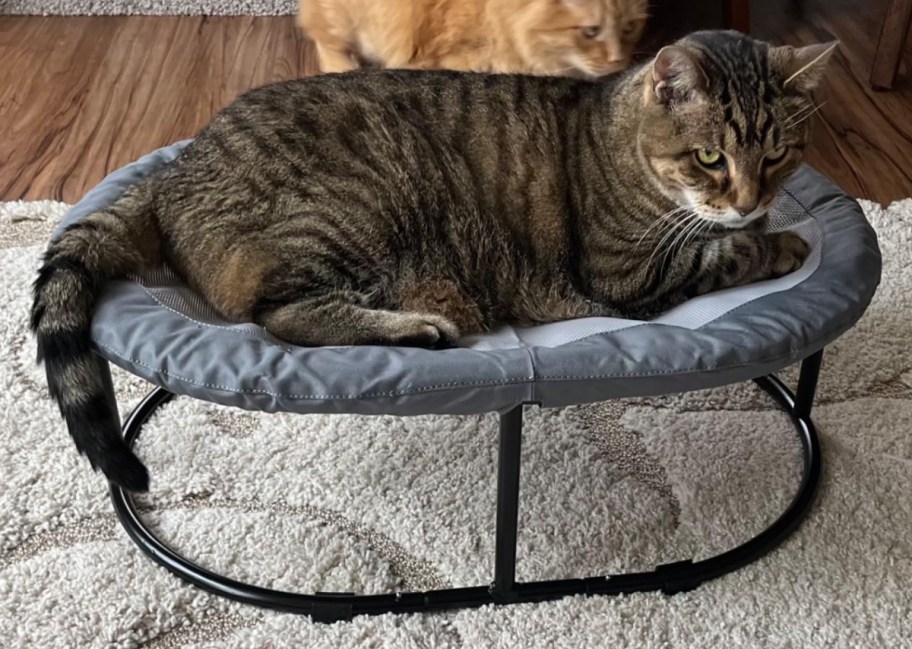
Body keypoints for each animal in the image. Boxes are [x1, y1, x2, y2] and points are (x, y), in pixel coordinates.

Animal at [33, 29, 832, 486]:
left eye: (779, 155)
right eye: (709, 158)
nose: (750, 198)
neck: (621, 139)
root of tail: (177, 169)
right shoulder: (626, 272)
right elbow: (720, 252)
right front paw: (780, 241)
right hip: (354, 211)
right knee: (282, 316)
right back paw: (418, 327)